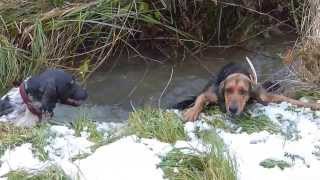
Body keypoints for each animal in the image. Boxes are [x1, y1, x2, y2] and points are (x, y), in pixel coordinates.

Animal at [172, 62, 320, 121]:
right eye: (228, 90)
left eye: (243, 91)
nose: (232, 109)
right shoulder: (212, 94)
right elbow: (201, 99)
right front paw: (192, 112)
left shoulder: (264, 96)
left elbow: (289, 99)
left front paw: (313, 104)